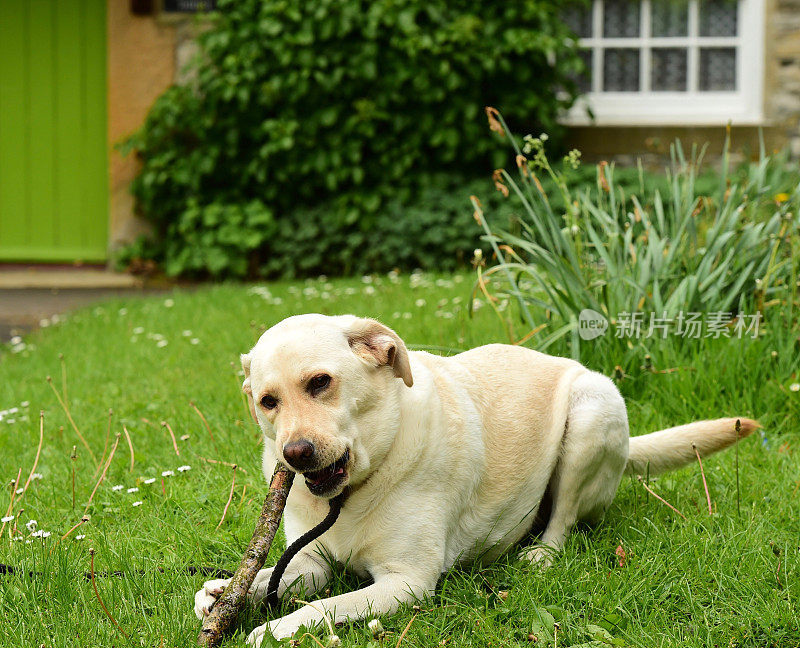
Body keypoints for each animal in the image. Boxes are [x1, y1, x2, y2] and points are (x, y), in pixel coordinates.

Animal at [194, 314, 756, 644]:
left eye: (320, 383)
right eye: (267, 401)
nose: (294, 454)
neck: (357, 488)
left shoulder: (408, 582)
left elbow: (323, 608)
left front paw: (274, 627)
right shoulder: (311, 564)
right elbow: (273, 578)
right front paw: (223, 592)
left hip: (591, 413)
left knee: (563, 519)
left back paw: (539, 553)